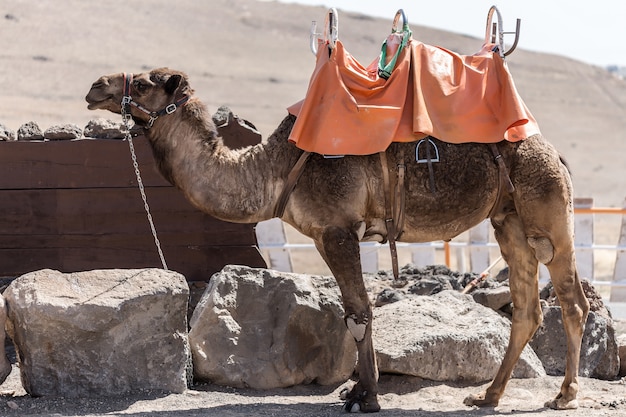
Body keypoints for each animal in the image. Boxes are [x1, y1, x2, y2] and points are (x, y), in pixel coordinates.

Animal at [85, 66, 588, 412]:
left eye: (145, 81)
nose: (96, 86)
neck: (271, 170)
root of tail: (555, 153)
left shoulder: (337, 230)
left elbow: (359, 312)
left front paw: (365, 396)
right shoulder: (328, 234)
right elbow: (354, 310)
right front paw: (359, 389)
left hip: (548, 210)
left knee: (572, 300)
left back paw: (564, 395)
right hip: (509, 223)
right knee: (527, 309)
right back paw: (487, 396)